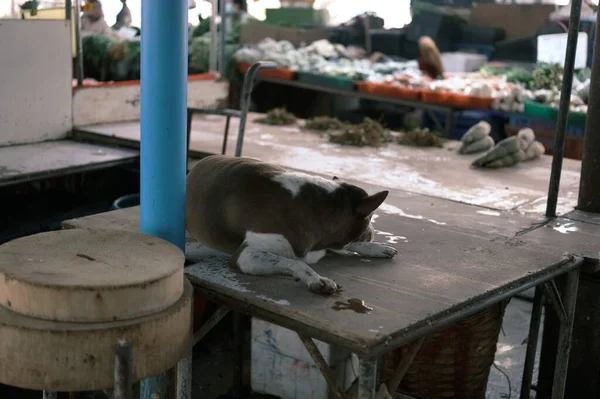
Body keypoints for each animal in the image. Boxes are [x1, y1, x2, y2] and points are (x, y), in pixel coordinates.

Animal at [185, 155, 396, 296]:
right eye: (370, 217)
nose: (373, 233)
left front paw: (375, 247)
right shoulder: (245, 255)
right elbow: (296, 262)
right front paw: (317, 279)